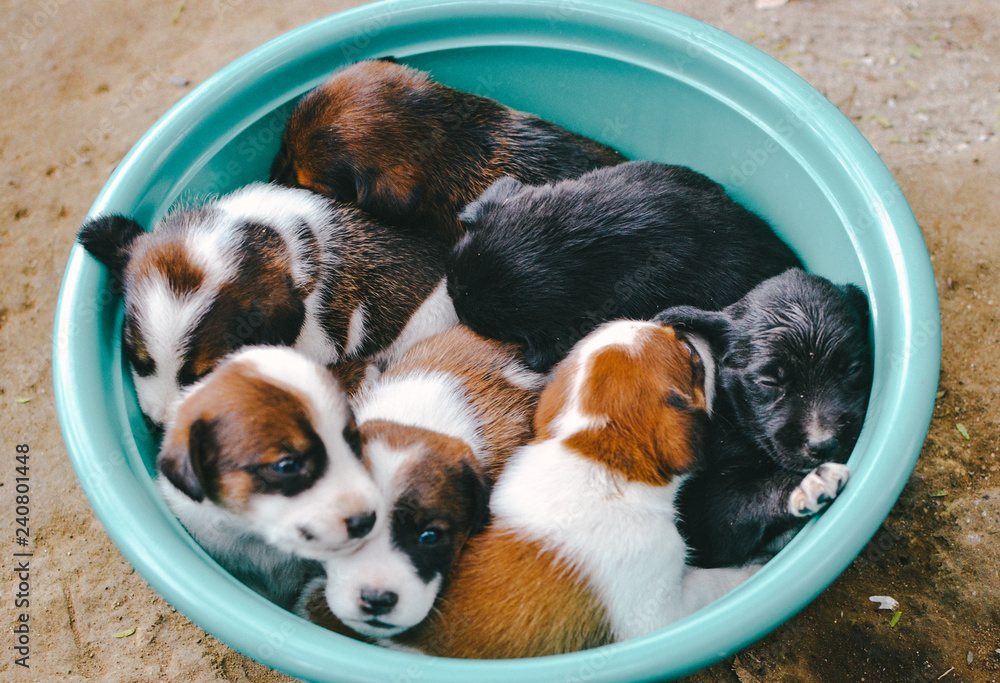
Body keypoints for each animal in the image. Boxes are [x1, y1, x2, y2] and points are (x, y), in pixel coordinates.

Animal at [652, 270, 872, 568]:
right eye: (768, 381)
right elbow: (750, 496)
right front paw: (807, 486)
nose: (823, 445)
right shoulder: (701, 517)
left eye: (852, 370)